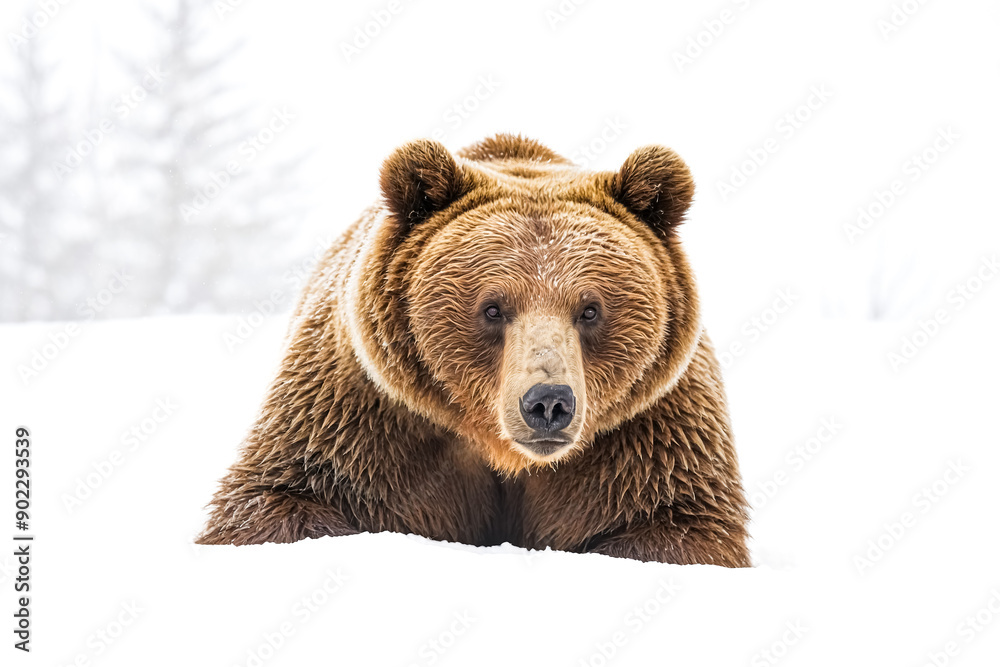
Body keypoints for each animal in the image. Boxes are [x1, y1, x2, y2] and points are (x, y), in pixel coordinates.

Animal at [197, 133, 751, 567]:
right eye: (493, 307)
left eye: (590, 309)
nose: (548, 402)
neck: (500, 451)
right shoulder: (363, 413)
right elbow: (282, 498)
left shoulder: (648, 432)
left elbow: (676, 523)